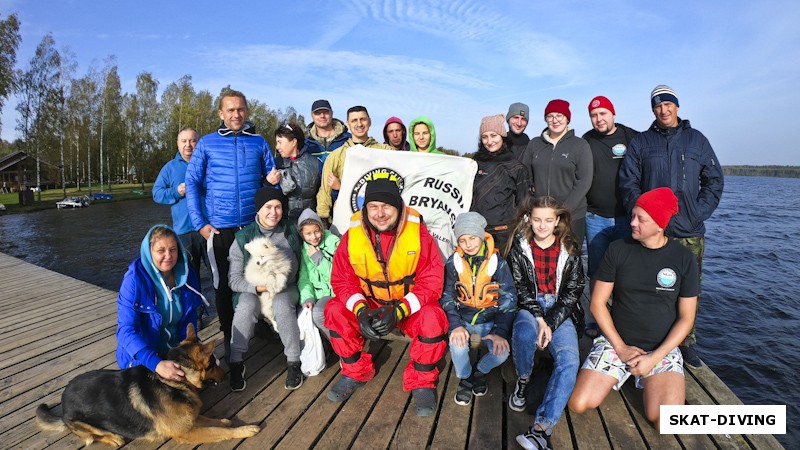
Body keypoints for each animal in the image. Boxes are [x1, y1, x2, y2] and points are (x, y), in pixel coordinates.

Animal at [36, 324, 260, 446]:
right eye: (213, 365)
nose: (227, 374)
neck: (173, 383)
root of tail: (64, 398)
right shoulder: (186, 433)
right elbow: (220, 432)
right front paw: (244, 430)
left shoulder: (191, 421)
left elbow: (210, 421)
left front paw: (223, 420)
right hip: (85, 425)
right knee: (92, 437)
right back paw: (114, 438)